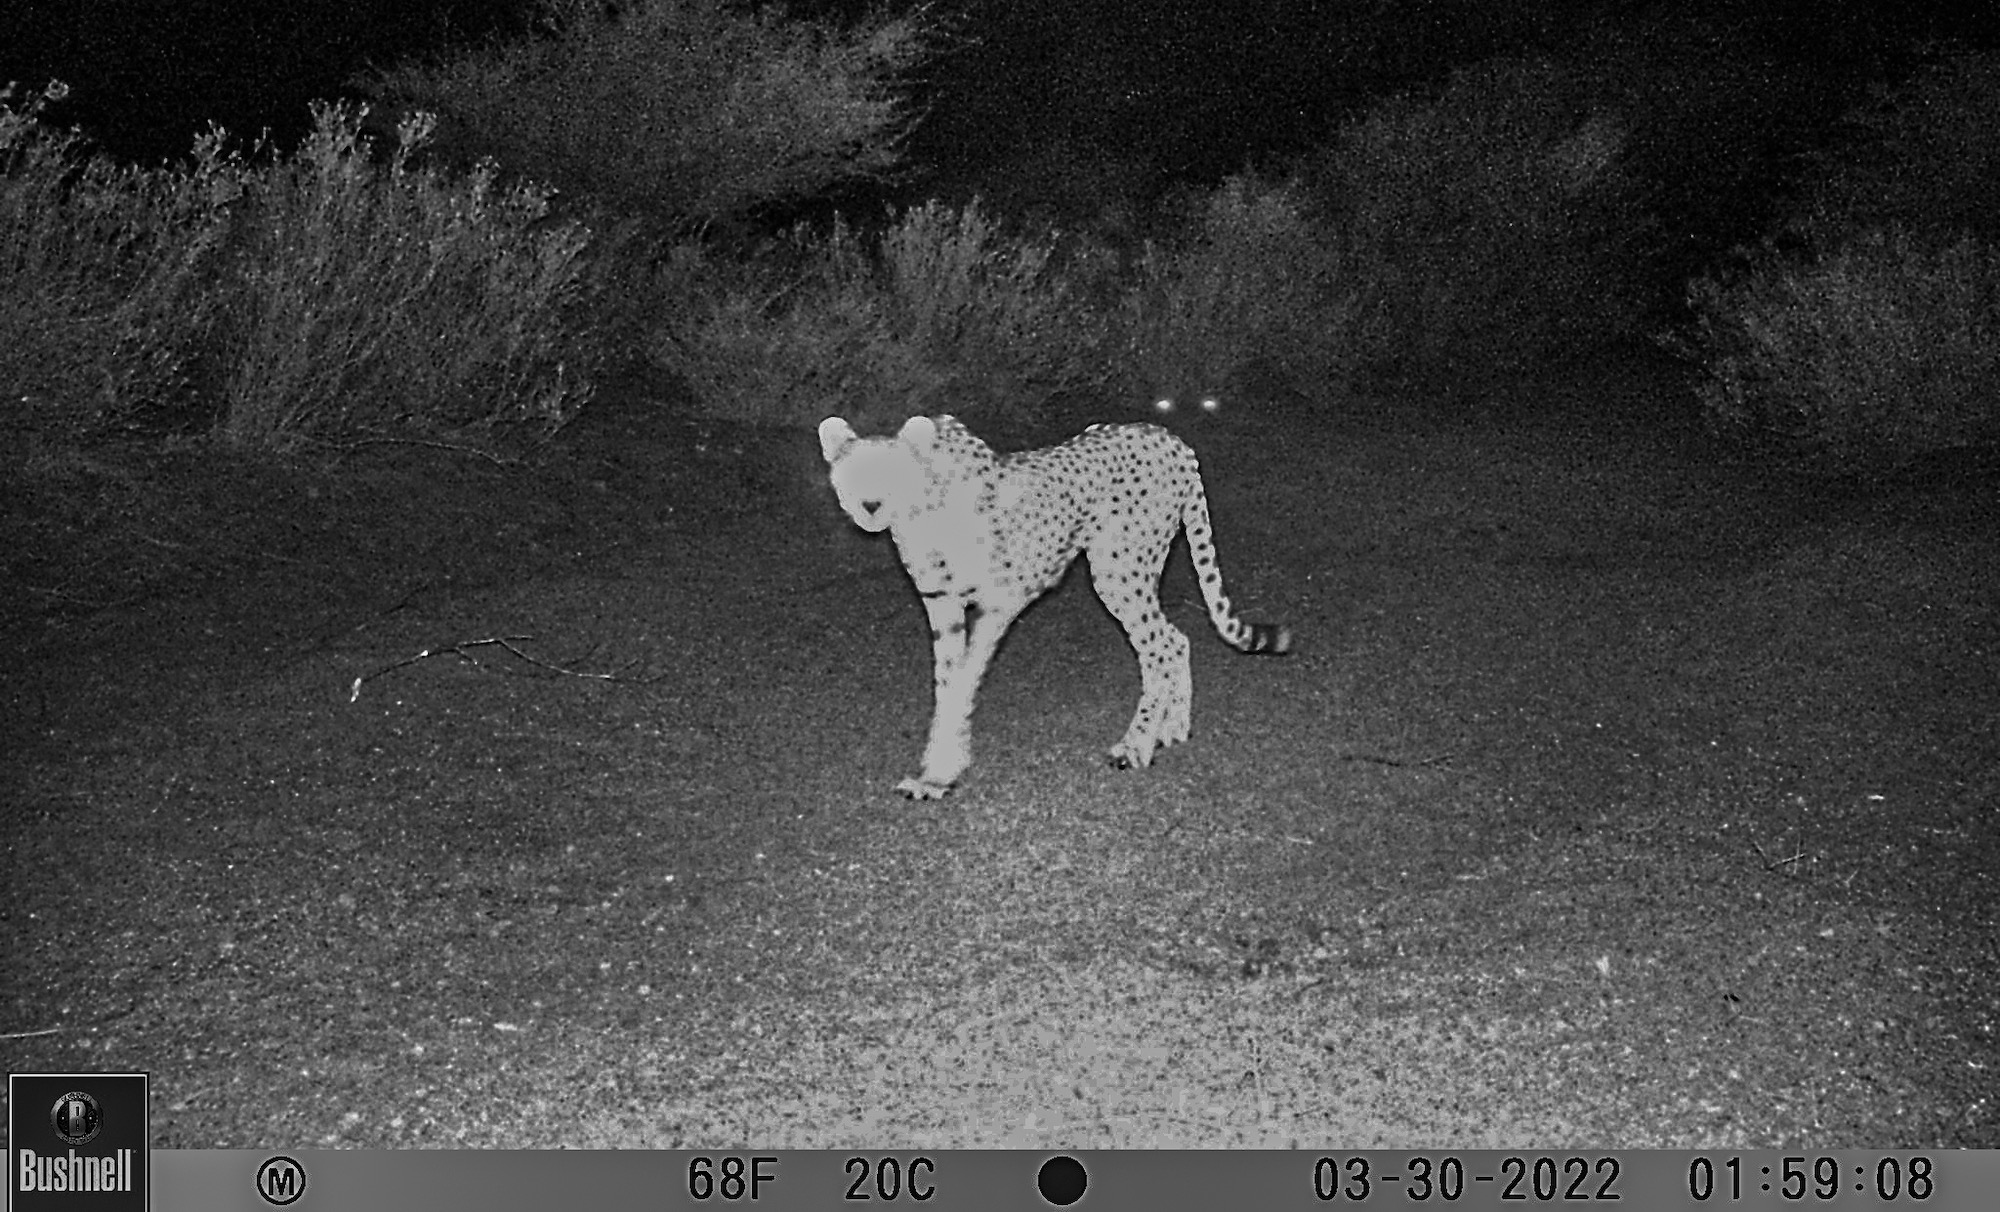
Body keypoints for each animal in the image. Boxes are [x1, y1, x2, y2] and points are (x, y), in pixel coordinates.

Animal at [818, 413, 1292, 799]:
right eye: (853, 474)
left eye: (894, 474)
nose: (871, 506)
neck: (924, 506)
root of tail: (1165, 435)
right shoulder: (944, 607)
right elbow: (948, 684)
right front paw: (935, 772)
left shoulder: (998, 602)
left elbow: (964, 682)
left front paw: (941, 774)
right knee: (1177, 639)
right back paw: (1172, 726)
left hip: (1119, 570)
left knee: (1161, 646)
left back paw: (1137, 744)